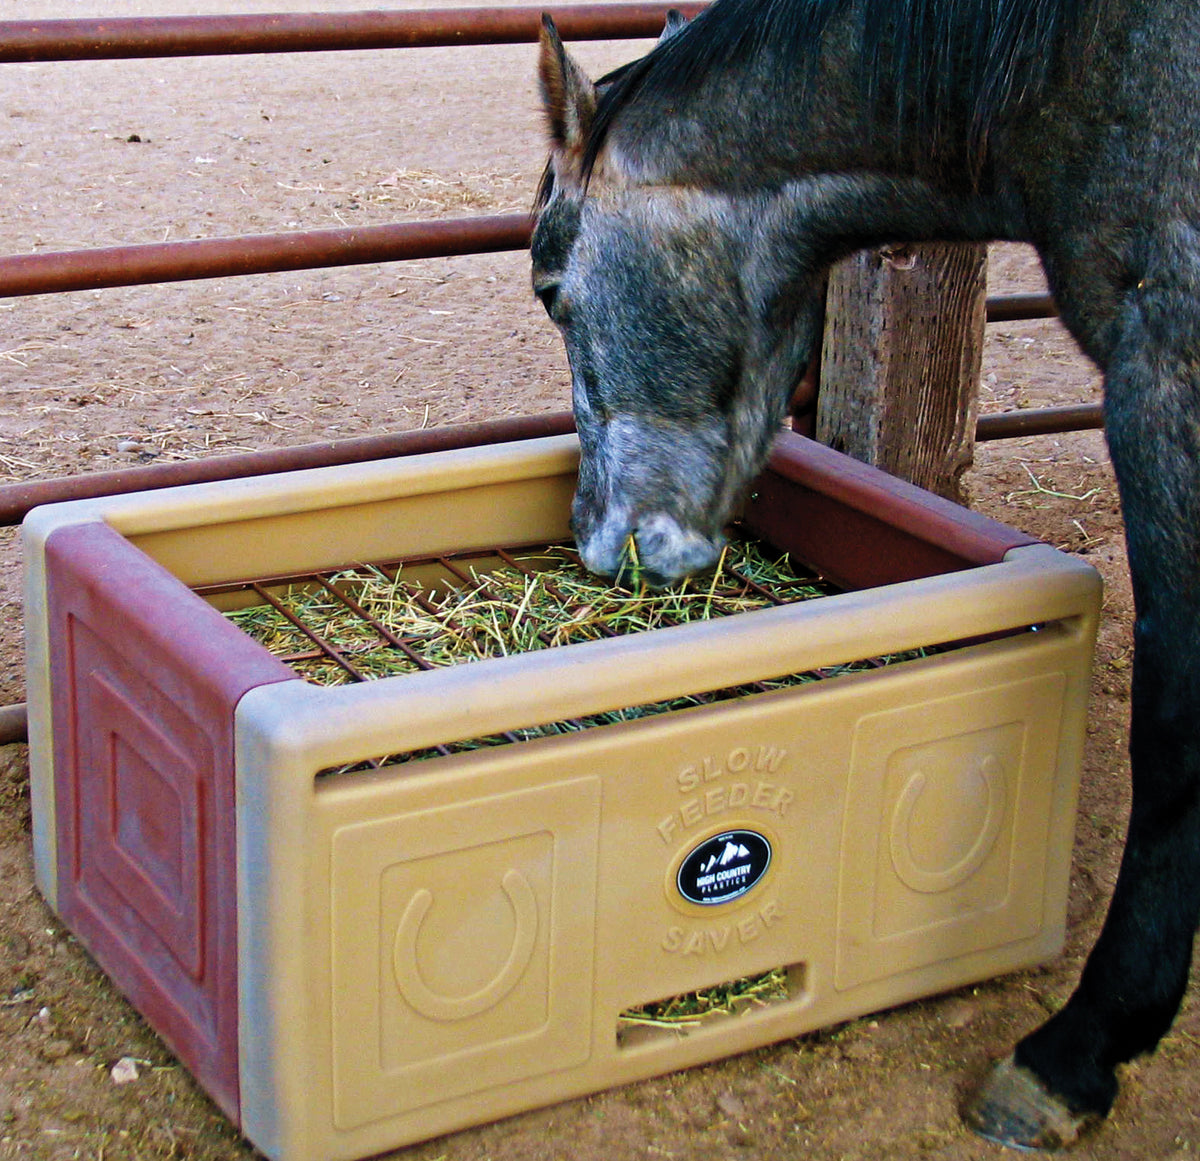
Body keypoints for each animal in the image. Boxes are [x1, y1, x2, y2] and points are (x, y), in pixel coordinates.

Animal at [532, 0, 1200, 1149]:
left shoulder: (1169, 377)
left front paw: (1076, 1055)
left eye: (550, 292)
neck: (1081, 65)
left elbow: (1174, 740)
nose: (599, 548)